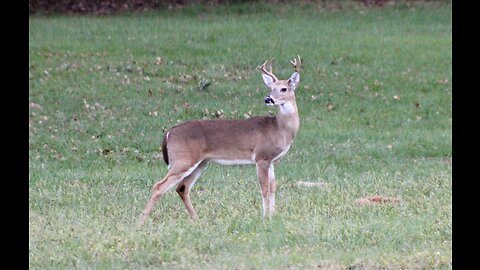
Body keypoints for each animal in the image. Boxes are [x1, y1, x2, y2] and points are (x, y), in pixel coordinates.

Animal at [138, 55, 300, 224]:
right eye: (271, 88)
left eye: (284, 89)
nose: (268, 99)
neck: (279, 129)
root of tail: (169, 132)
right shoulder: (261, 157)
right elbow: (265, 188)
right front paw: (265, 217)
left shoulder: (271, 160)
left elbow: (273, 186)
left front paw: (273, 215)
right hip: (182, 159)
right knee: (159, 186)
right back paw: (140, 222)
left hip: (201, 162)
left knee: (182, 187)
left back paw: (197, 219)